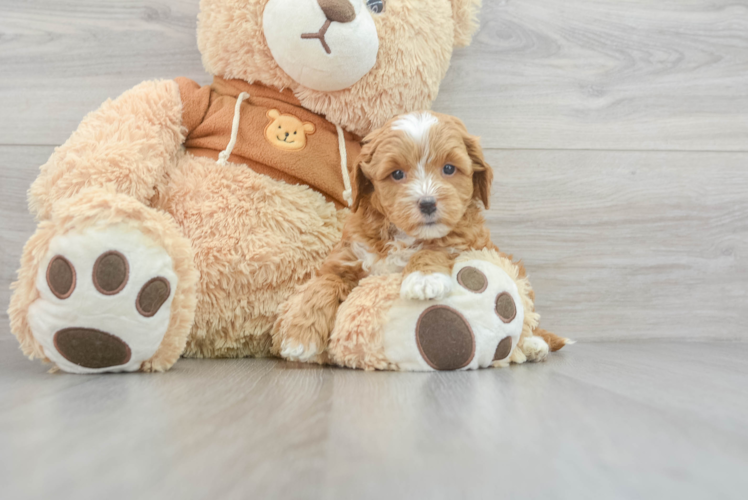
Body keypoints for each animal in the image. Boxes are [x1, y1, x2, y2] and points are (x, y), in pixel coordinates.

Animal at [270, 111, 560, 362]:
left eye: (449, 169)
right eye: (397, 173)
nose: (428, 203)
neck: (402, 235)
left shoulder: (466, 240)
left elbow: (436, 247)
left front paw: (423, 279)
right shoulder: (346, 257)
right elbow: (321, 286)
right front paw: (299, 338)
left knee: (527, 316)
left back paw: (533, 345)